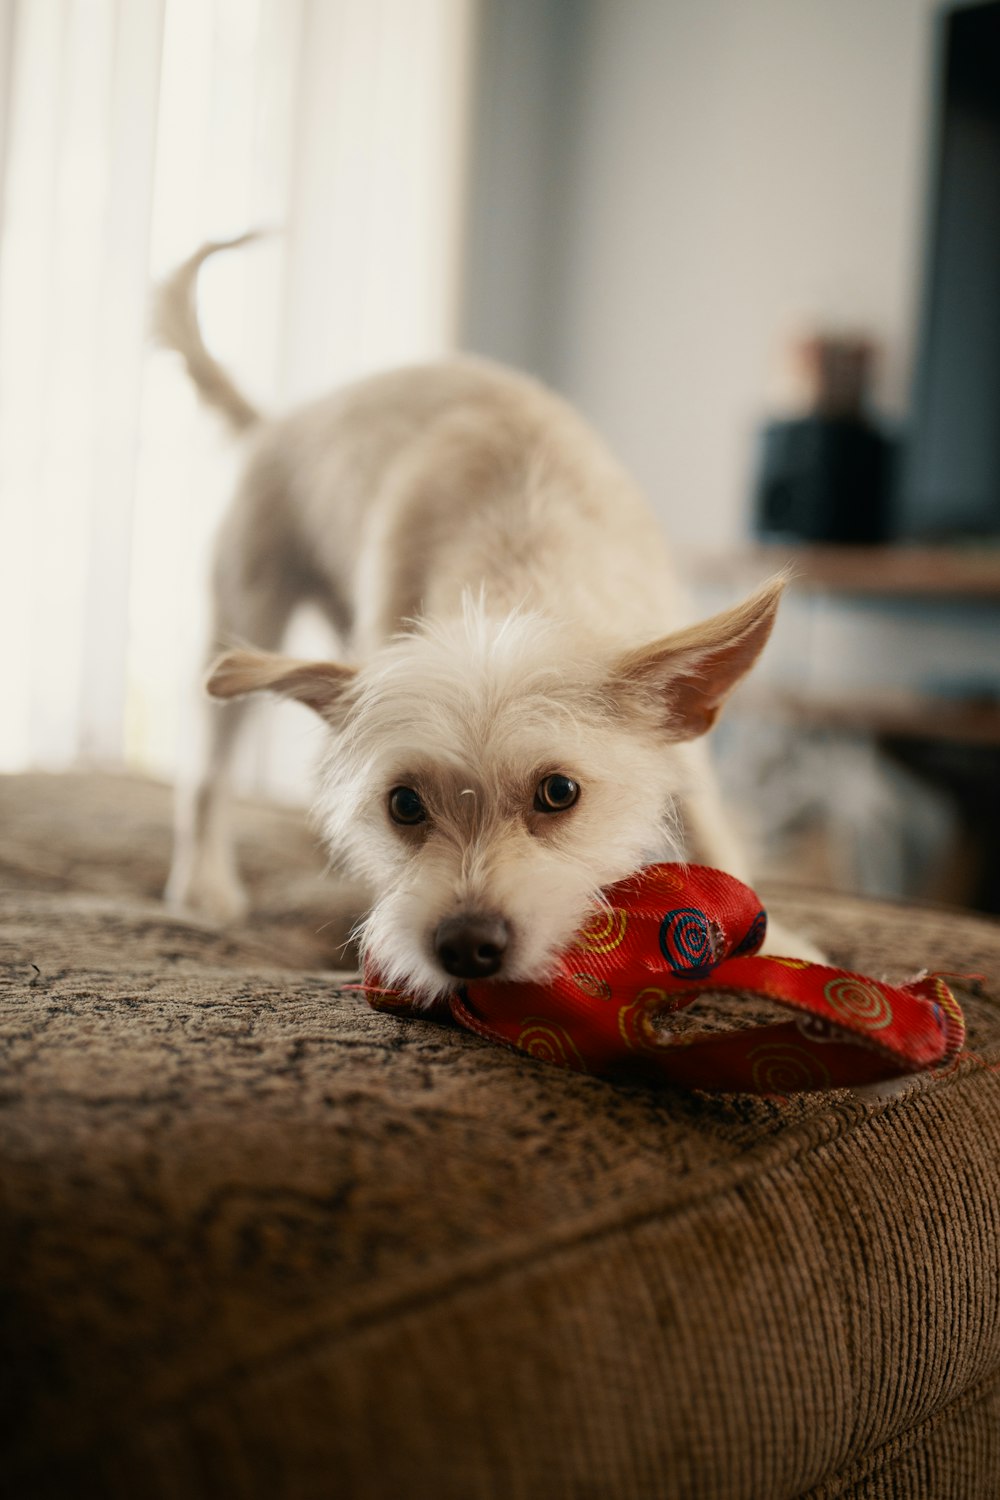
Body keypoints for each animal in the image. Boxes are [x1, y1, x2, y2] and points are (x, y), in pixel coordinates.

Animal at [160, 240, 809, 1002]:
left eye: (559, 793)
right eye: (404, 804)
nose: (467, 948)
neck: (512, 582)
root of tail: (278, 422)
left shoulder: (687, 746)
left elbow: (713, 830)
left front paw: (784, 944)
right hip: (247, 608)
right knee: (209, 773)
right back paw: (203, 883)